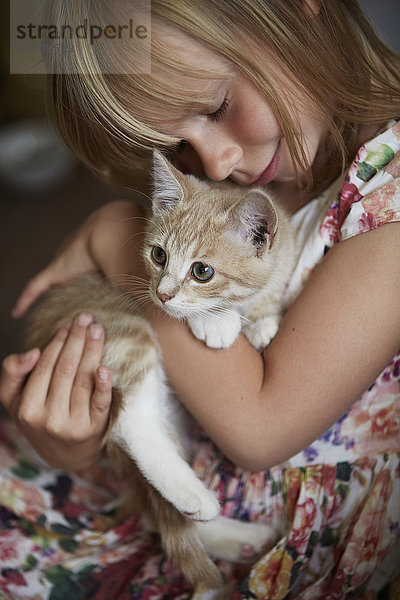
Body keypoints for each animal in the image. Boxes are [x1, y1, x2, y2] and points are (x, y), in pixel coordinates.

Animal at [24, 152, 294, 588]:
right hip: (122, 327)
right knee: (133, 425)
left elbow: (269, 291)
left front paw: (265, 320)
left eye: (202, 271)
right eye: (158, 256)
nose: (162, 294)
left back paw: (239, 538)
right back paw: (197, 497)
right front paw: (219, 322)